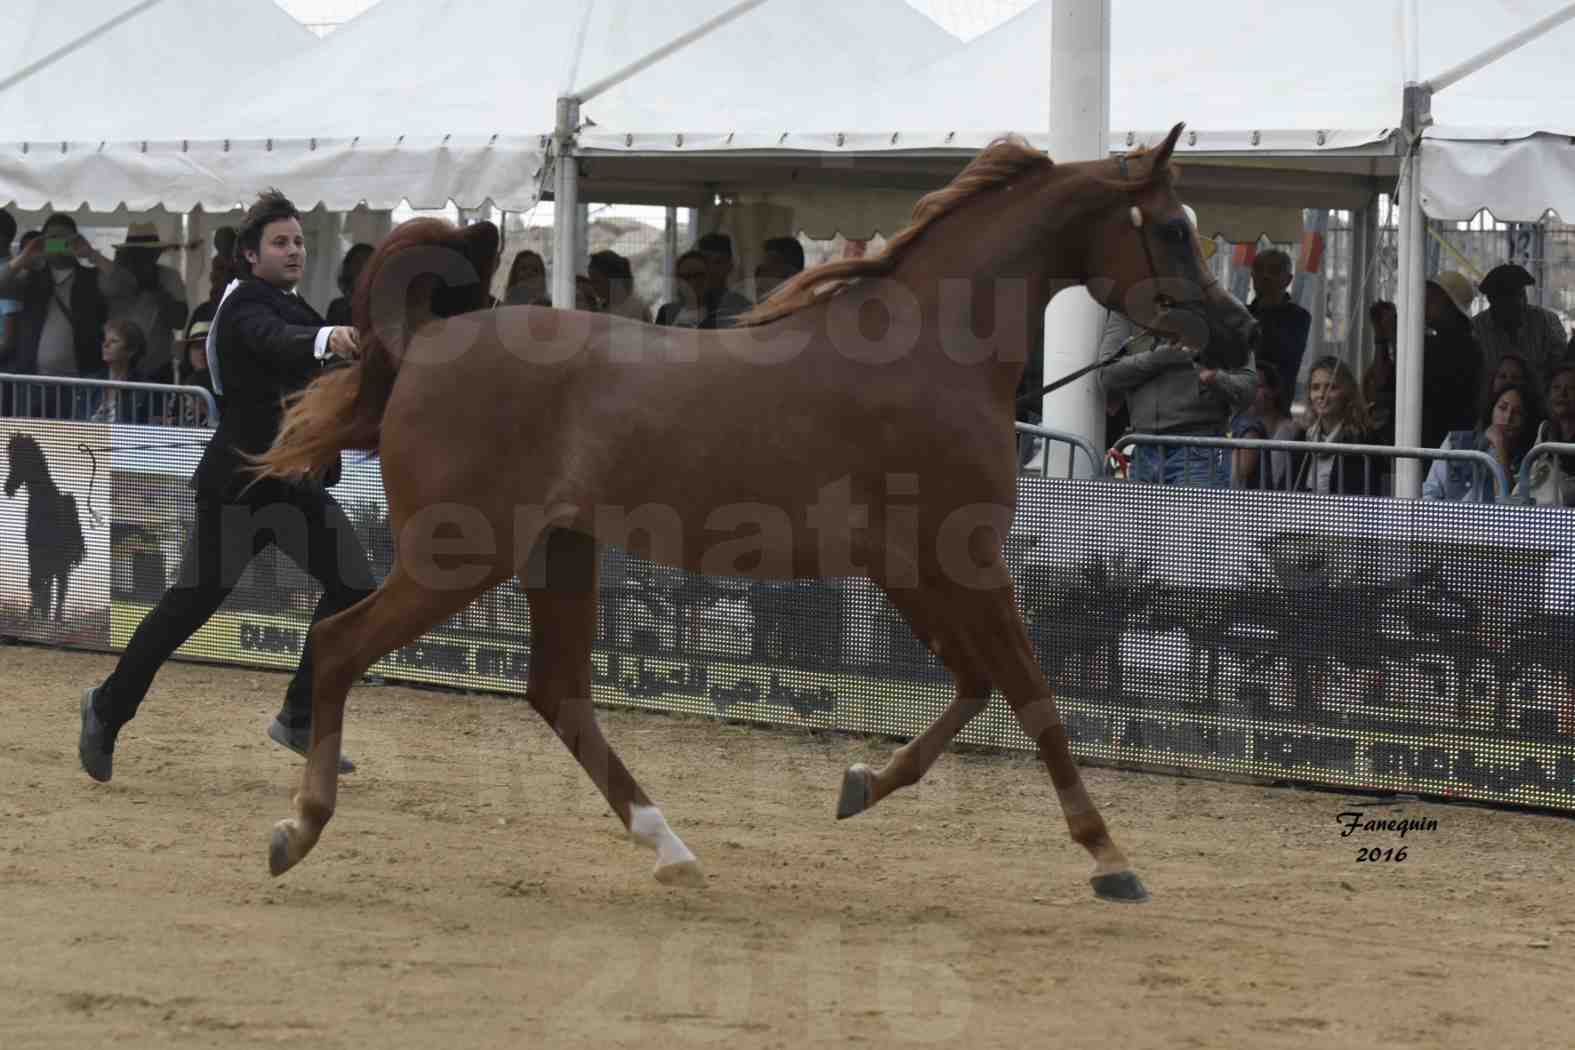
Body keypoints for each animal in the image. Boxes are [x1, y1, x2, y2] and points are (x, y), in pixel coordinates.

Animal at [252, 118, 1253, 900]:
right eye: (1171, 229)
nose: (1236, 333)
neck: (930, 354)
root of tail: (427, 337)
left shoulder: (915, 569)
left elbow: (977, 687)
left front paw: (861, 783)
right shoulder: (961, 561)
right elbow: (1033, 695)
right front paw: (1110, 859)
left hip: (556, 555)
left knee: (558, 695)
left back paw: (671, 849)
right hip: (461, 556)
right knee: (339, 645)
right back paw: (297, 830)